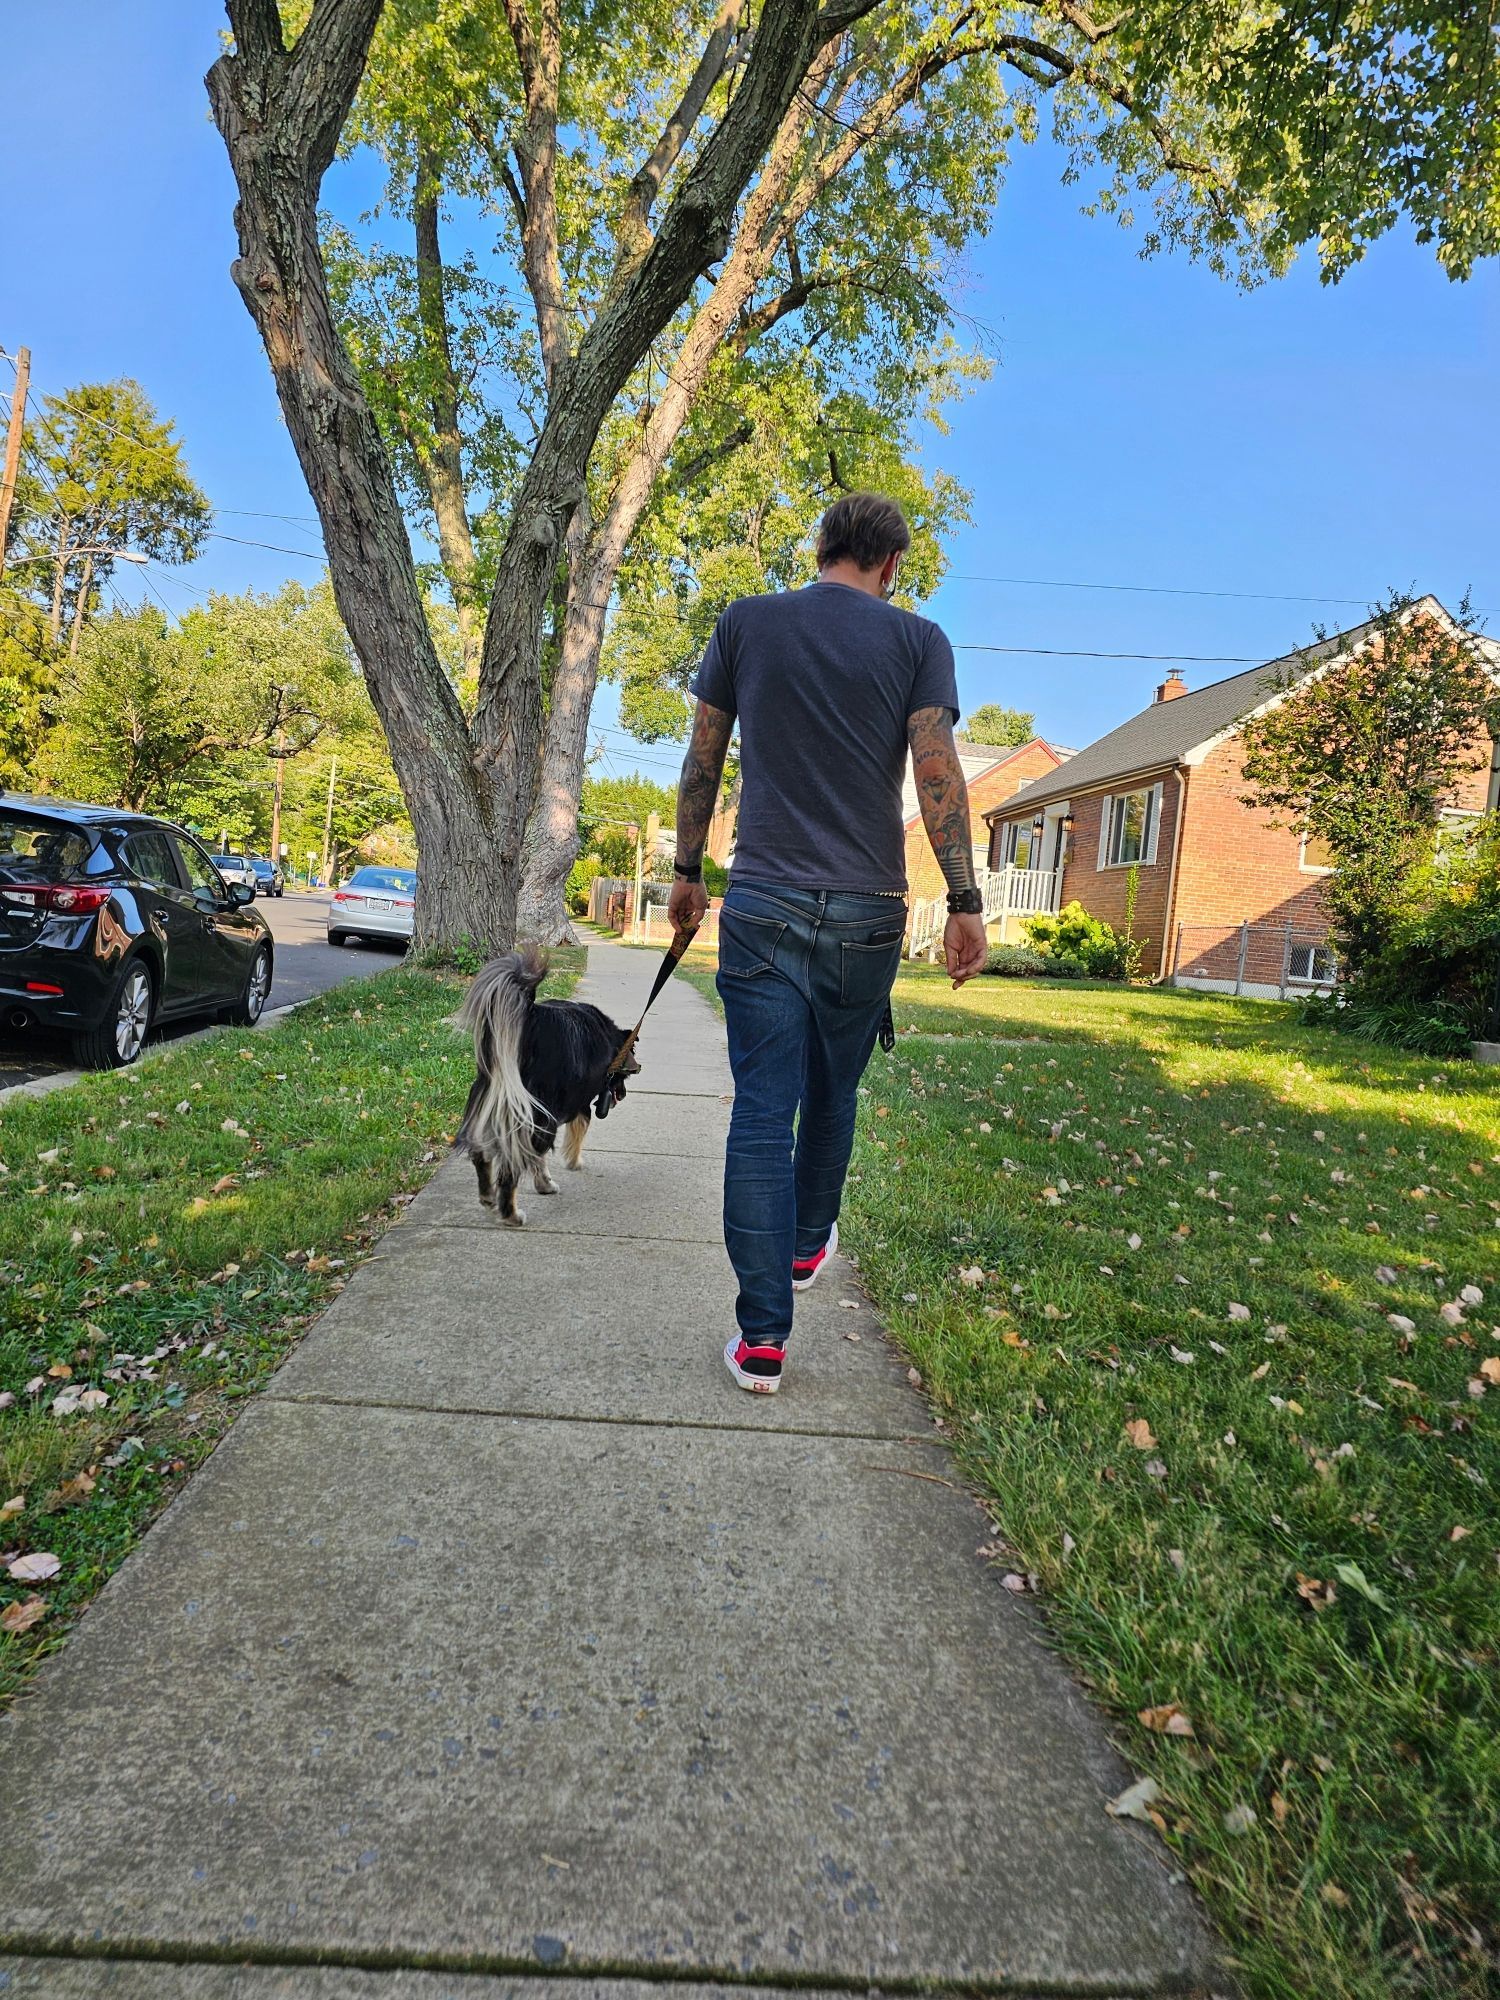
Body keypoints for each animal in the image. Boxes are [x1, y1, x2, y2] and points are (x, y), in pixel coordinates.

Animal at [452, 944, 640, 1224]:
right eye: (623, 1078)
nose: (623, 1094)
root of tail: (530, 1018)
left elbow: (539, 1157)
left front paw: (545, 1182)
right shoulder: (575, 1106)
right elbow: (577, 1132)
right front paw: (572, 1163)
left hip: (494, 1102)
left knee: (483, 1154)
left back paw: (488, 1199)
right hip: (529, 1112)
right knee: (511, 1164)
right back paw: (510, 1214)